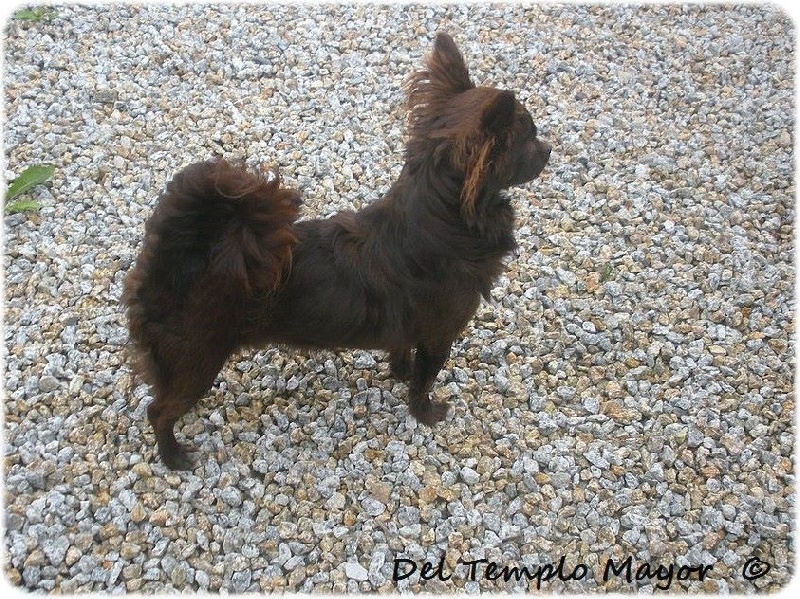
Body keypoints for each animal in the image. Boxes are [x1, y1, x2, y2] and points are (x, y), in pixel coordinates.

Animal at [123, 33, 551, 469]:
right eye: (530, 139)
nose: (550, 149)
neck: (443, 217)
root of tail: (180, 258)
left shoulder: (411, 330)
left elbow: (402, 351)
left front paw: (399, 373)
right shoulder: (439, 335)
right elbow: (424, 379)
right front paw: (426, 413)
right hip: (198, 359)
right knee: (159, 411)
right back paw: (174, 456)